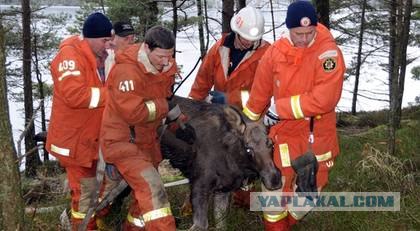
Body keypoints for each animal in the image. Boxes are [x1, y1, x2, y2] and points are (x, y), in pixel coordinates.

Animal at [161, 95, 282, 229]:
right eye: (248, 148)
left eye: (271, 144)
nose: (274, 180)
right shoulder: (199, 185)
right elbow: (201, 224)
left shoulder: (223, 189)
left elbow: (221, 224)